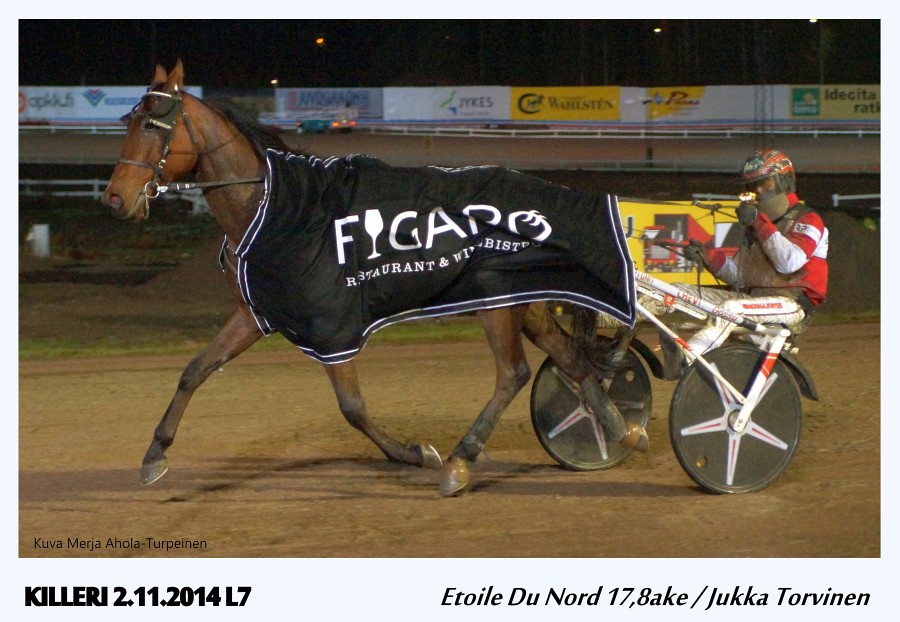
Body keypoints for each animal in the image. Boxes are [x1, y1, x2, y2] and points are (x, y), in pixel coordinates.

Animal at [101, 60, 648, 496]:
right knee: (569, 358)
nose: (114, 198)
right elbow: (195, 370)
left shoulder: (330, 324)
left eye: (154, 124)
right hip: (524, 301)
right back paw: (621, 430)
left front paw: (416, 453)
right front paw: (155, 455)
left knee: (512, 373)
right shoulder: (256, 313)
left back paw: (460, 461)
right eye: (128, 121)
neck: (271, 207)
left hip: (494, 300)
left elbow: (352, 407)